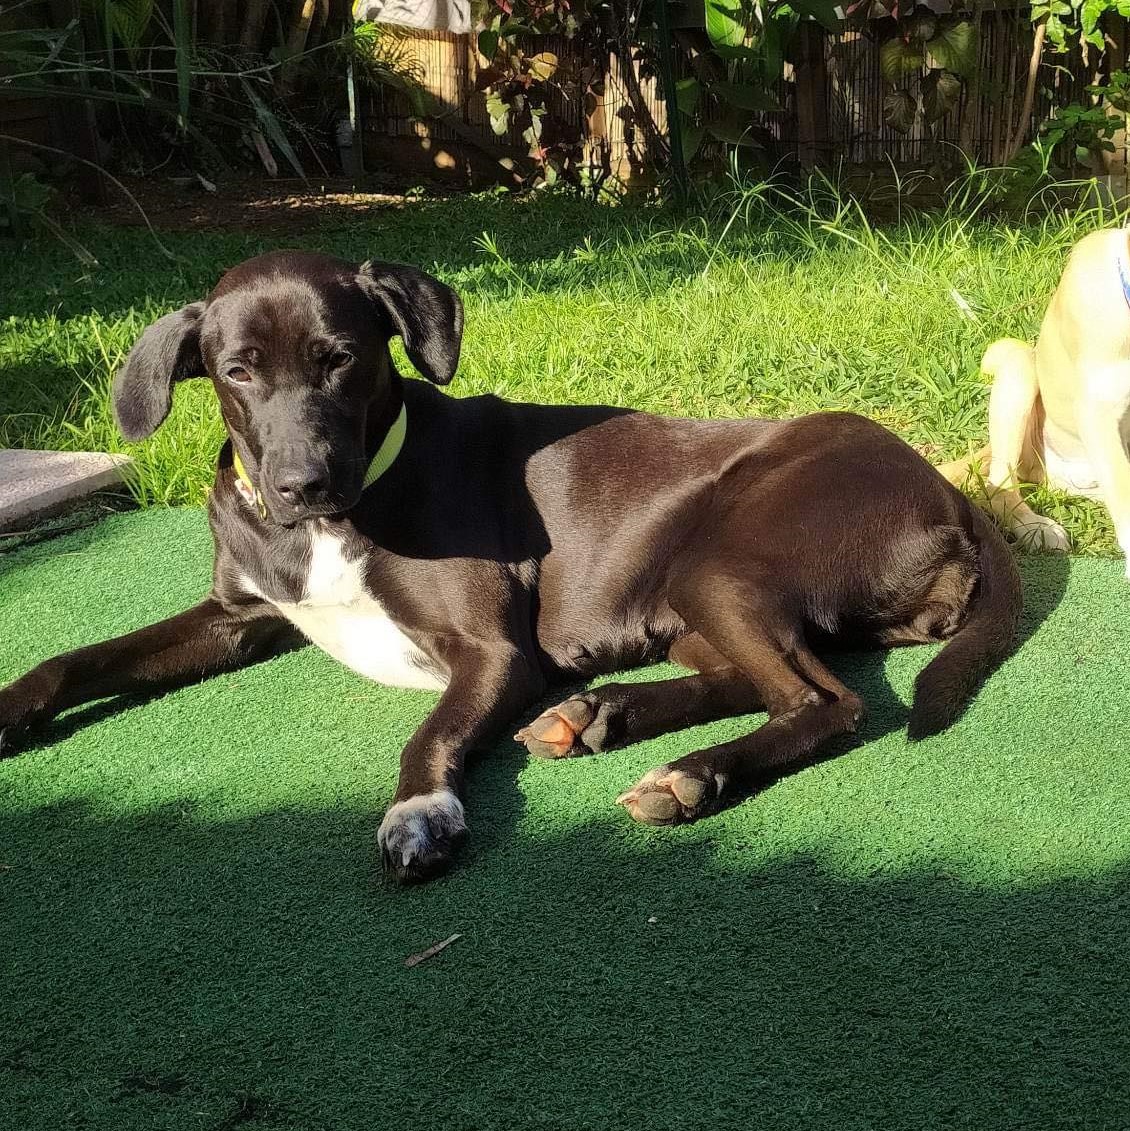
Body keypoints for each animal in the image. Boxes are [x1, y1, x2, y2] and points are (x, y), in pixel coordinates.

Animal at [0, 254, 1027, 882]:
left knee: (825, 700)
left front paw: (420, 811)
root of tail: (949, 491)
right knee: (759, 679)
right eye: (237, 370)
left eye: (343, 359)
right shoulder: (235, 616)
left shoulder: (491, 652)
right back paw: (603, 715)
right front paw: (13, 708)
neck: (335, 521)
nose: (300, 483)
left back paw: (691, 772)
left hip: (721, 563)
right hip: (693, 599)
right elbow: (79, 656)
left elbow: (429, 733)